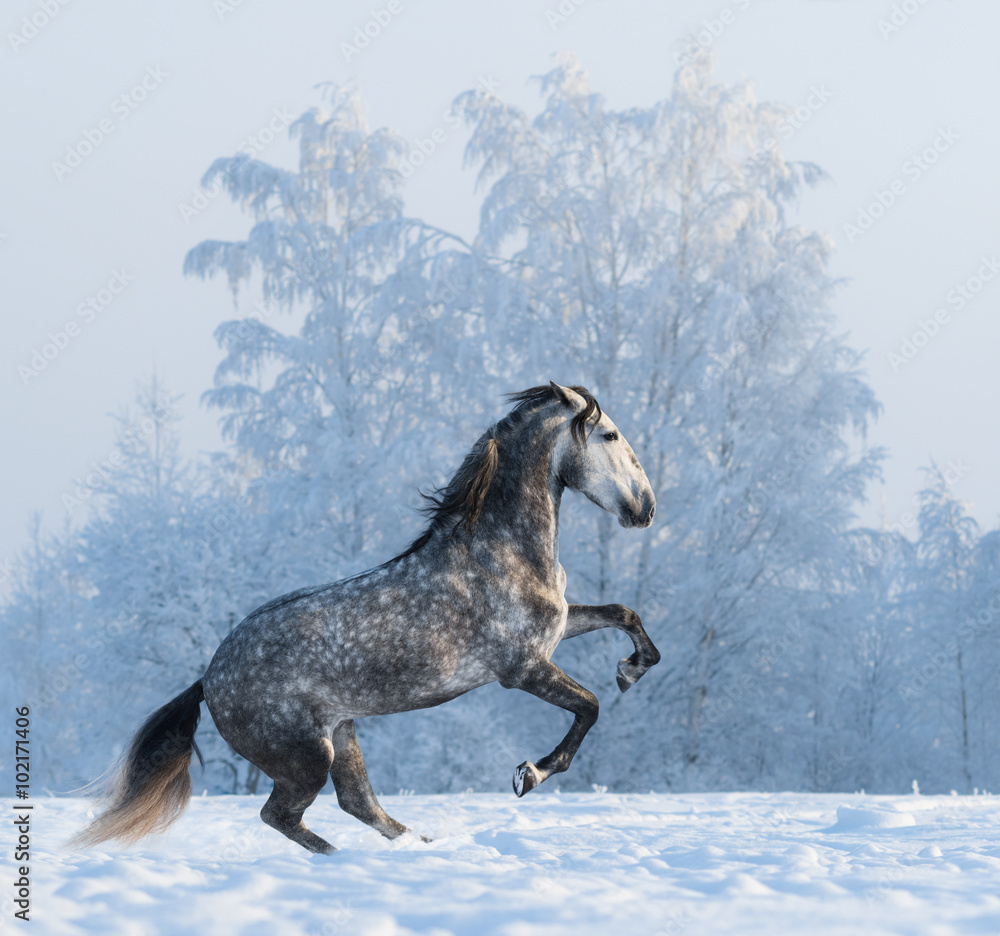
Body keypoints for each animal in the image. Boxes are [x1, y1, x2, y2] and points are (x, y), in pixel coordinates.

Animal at [72, 382, 664, 856]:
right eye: (610, 435)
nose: (646, 508)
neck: (501, 549)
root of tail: (207, 680)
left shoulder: (554, 635)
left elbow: (624, 615)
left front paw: (631, 669)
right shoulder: (522, 668)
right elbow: (589, 707)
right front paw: (530, 775)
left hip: (342, 732)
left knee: (359, 804)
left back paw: (420, 846)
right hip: (308, 754)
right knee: (283, 814)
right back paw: (349, 860)